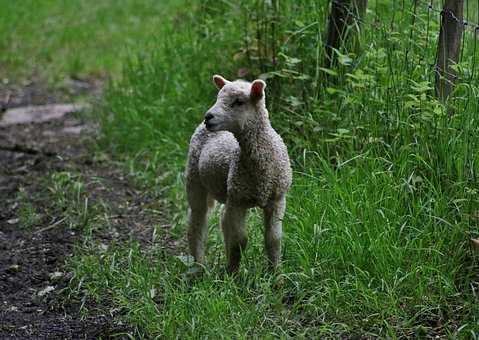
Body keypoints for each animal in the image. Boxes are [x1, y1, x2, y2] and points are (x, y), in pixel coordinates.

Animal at [187, 75, 292, 274]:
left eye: (239, 102)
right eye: (218, 97)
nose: (208, 117)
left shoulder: (277, 199)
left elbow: (274, 239)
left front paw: (276, 275)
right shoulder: (239, 202)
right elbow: (240, 241)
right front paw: (233, 273)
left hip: (229, 191)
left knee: (223, 217)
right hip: (195, 180)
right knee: (197, 223)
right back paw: (199, 266)